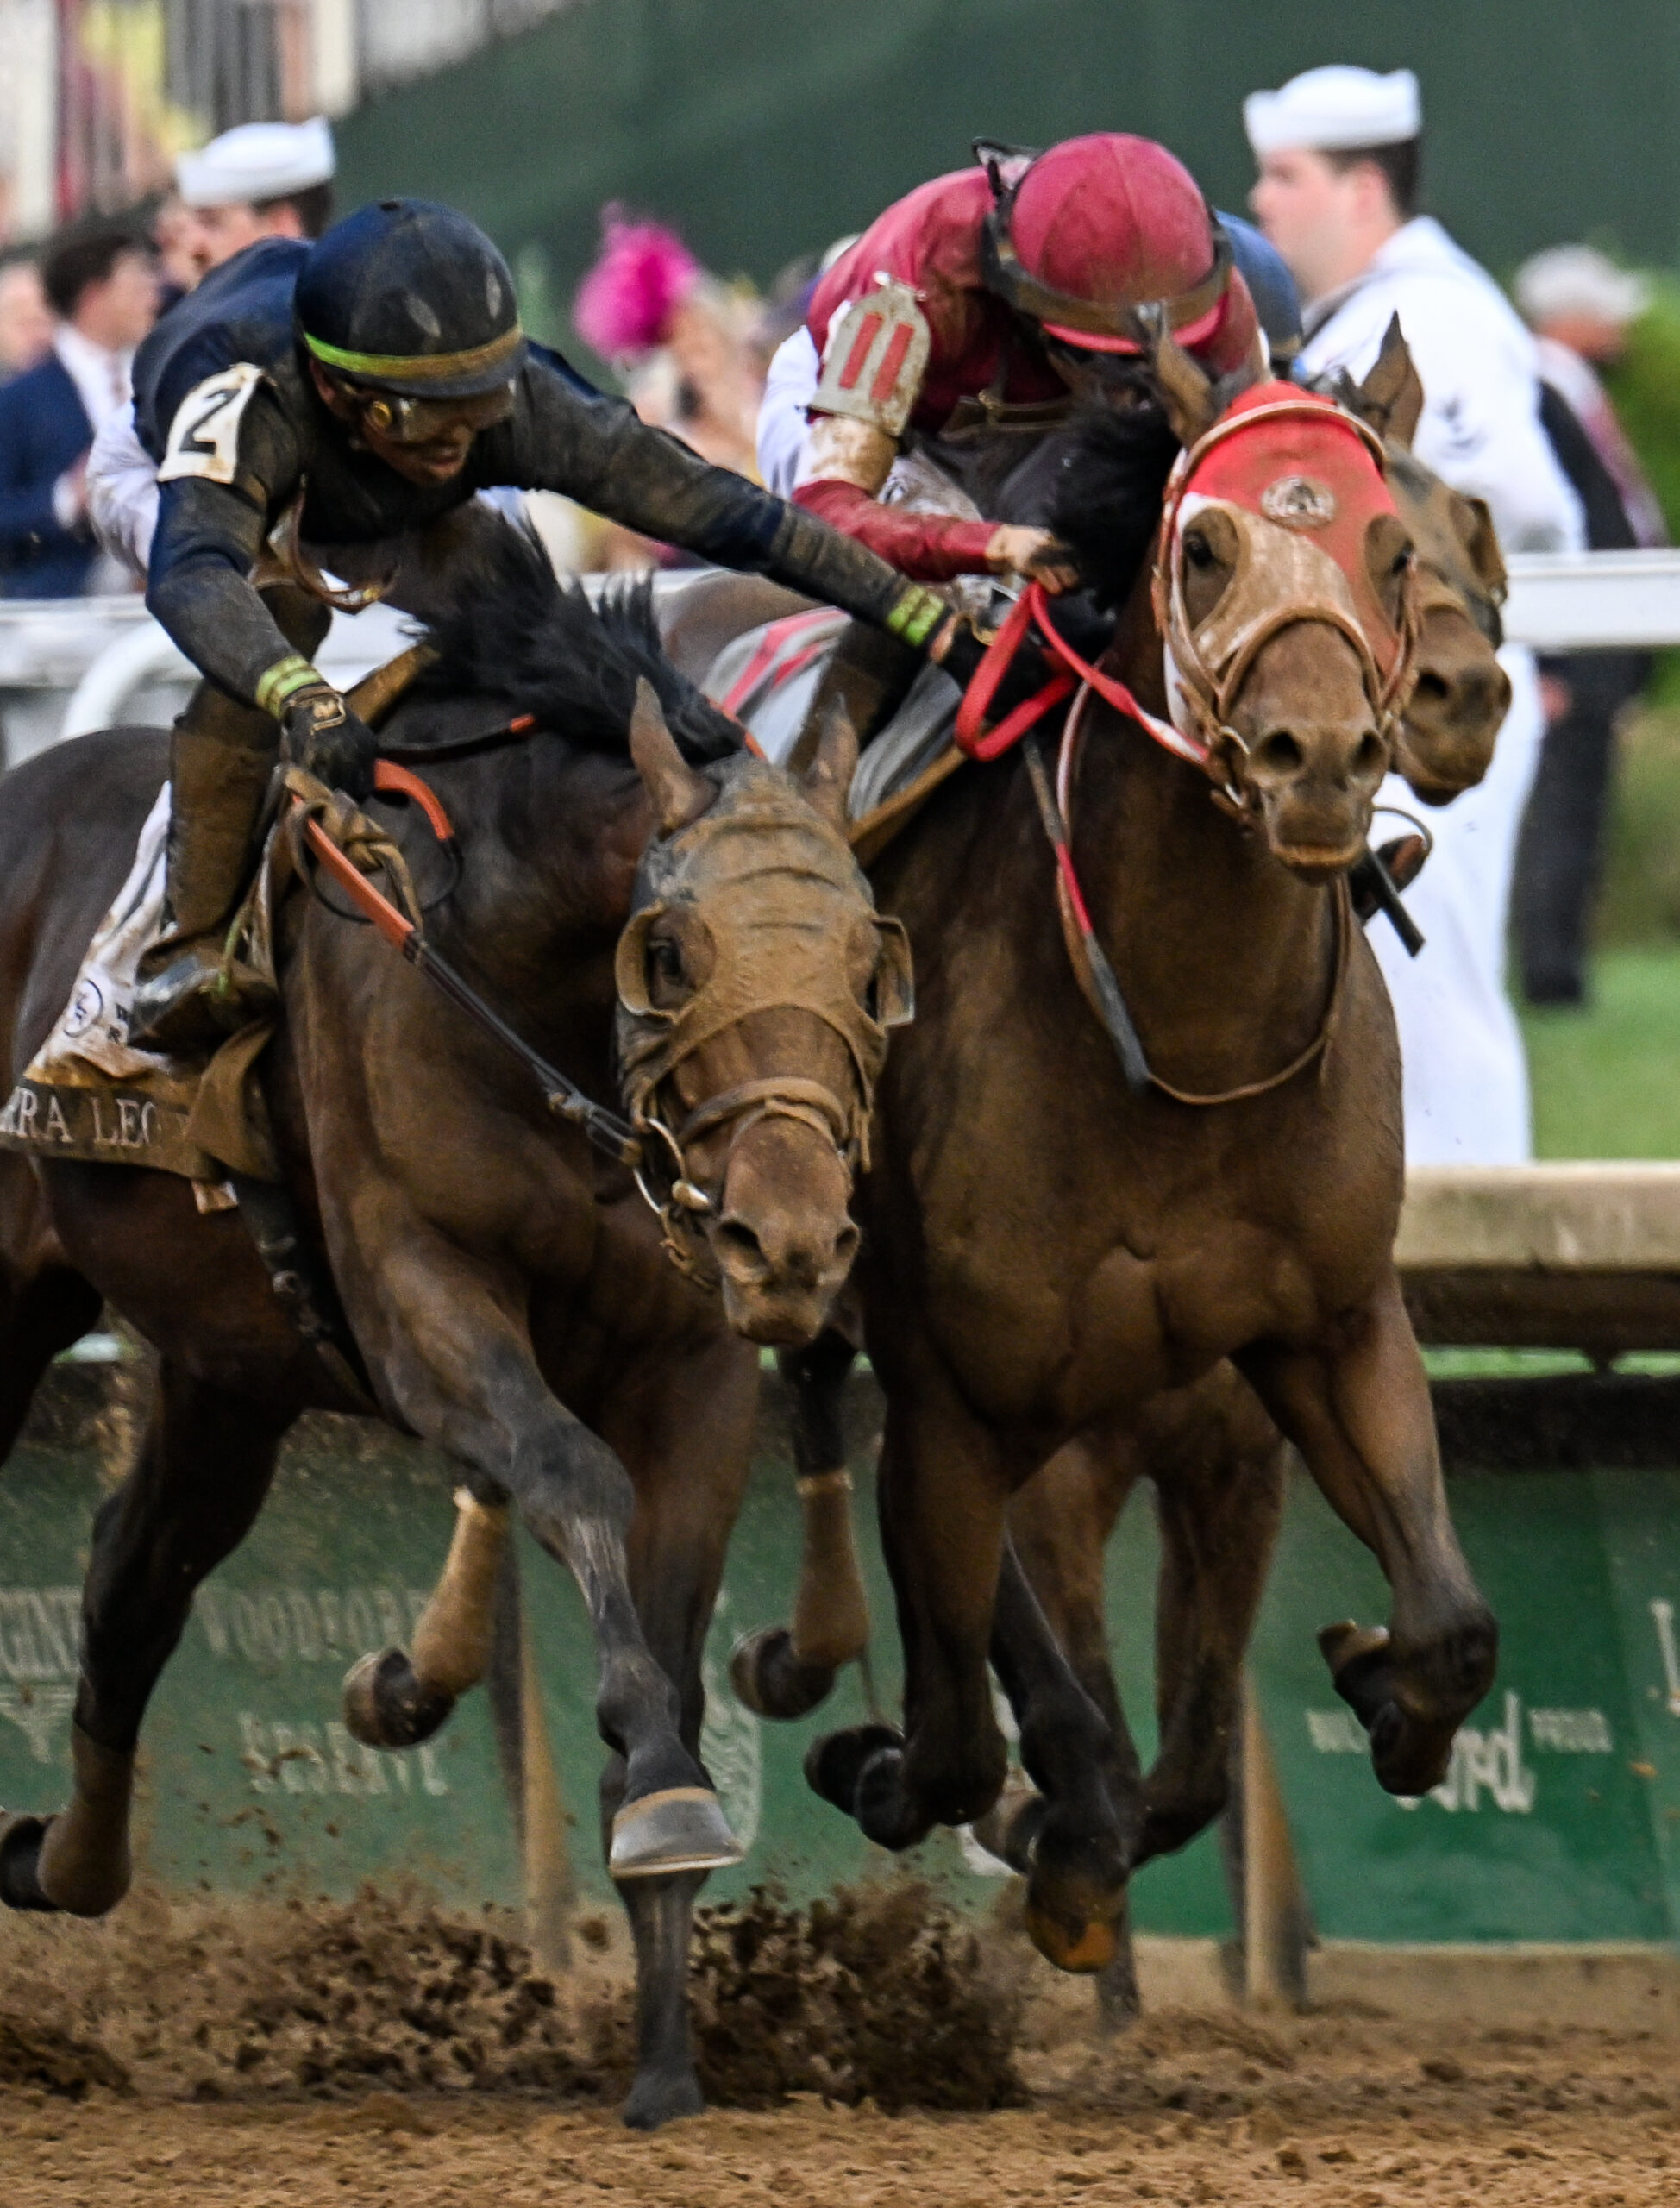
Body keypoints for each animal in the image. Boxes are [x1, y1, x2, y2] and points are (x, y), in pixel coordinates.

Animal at [0, 534, 905, 2119]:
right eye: (670, 953)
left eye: (869, 964)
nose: (793, 1240)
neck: (514, 970)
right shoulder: (423, 1297)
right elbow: (570, 1476)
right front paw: (664, 1796)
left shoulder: (693, 1361)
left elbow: (671, 1635)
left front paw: (666, 2052)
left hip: (228, 1369)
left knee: (132, 1576)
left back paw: (68, 1859)